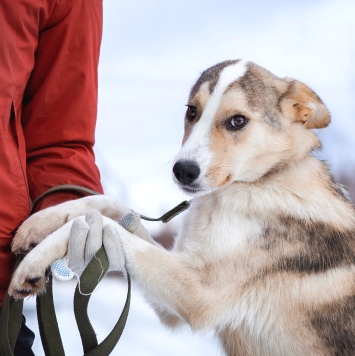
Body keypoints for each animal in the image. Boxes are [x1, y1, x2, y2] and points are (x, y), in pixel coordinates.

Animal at [7, 59, 355, 354]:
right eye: (191, 112)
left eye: (237, 120)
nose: (183, 170)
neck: (262, 181)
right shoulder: (176, 293)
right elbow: (108, 207)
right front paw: (41, 222)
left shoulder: (199, 293)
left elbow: (108, 228)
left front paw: (35, 261)